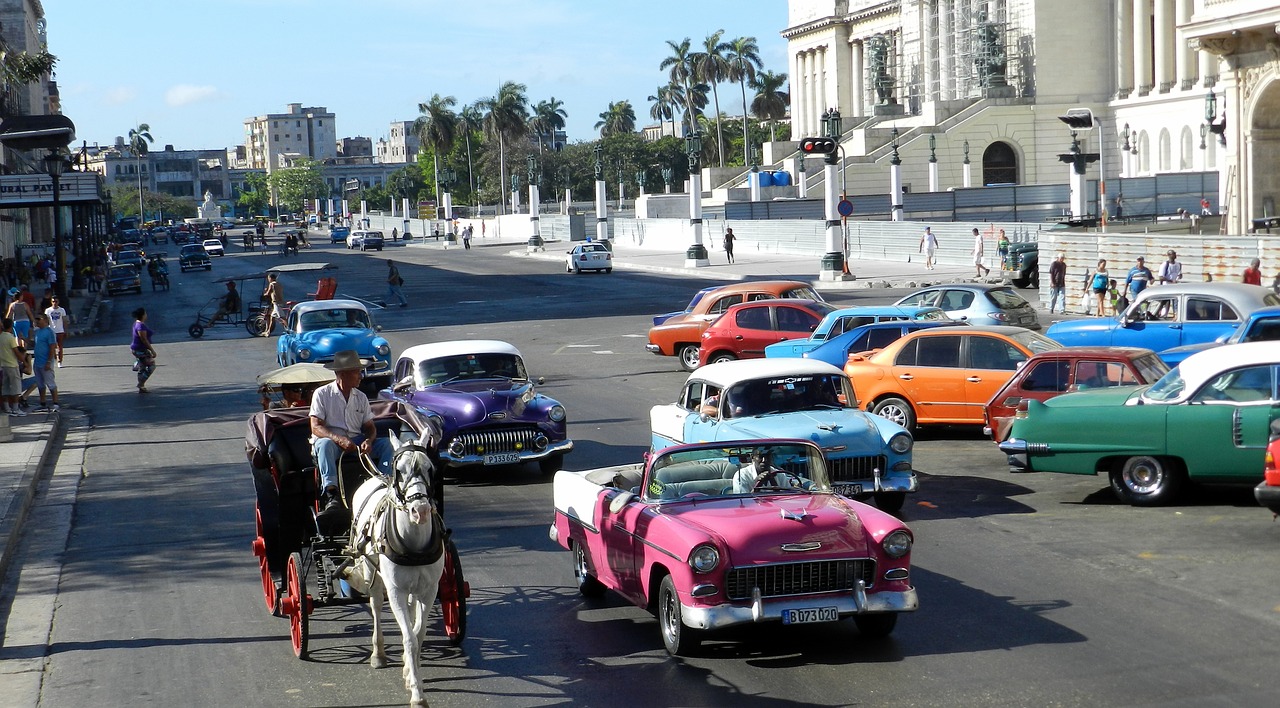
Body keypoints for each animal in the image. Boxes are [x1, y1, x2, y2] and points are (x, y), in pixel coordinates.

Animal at [345, 430, 445, 706]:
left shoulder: (429, 590)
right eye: (399, 470)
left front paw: (411, 672)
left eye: (430, 468)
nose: (420, 510)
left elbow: (418, 634)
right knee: (376, 607)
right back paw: (378, 654)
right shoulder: (396, 591)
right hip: (374, 576)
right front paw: (417, 693)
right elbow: (408, 637)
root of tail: (373, 479)